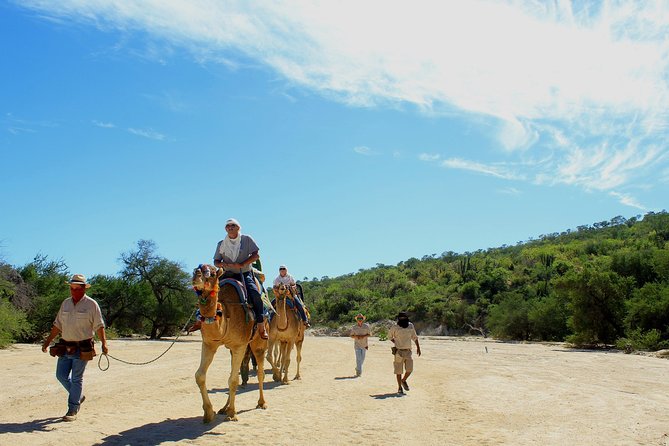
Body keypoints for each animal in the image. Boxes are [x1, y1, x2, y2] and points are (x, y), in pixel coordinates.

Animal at [192, 264, 269, 423]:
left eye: (212, 273)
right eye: (195, 269)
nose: (196, 276)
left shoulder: (240, 345)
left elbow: (233, 380)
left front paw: (232, 413)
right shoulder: (209, 344)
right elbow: (200, 376)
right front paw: (209, 413)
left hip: (258, 342)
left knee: (260, 372)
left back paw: (262, 403)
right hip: (232, 349)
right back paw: (223, 408)